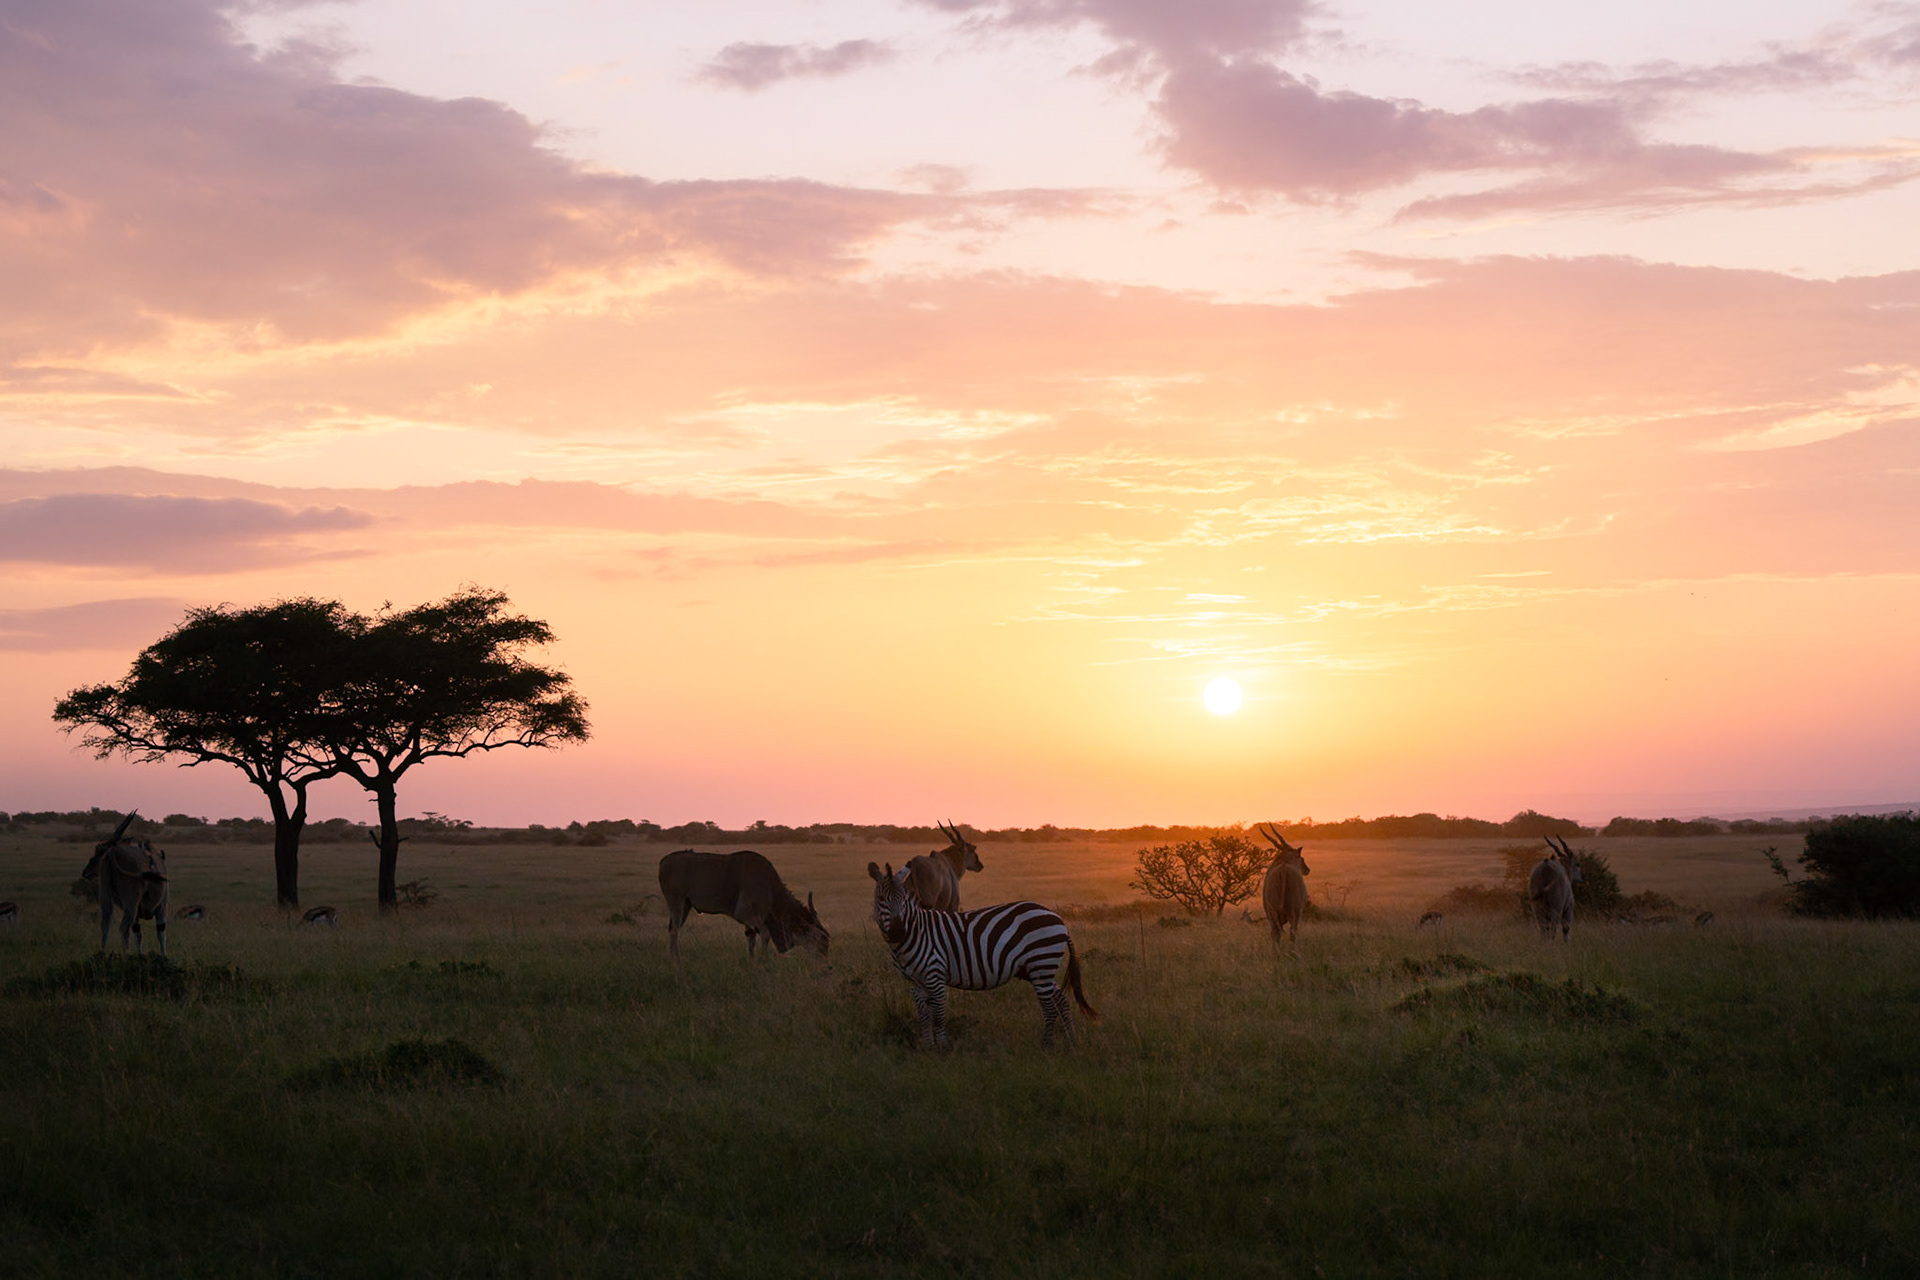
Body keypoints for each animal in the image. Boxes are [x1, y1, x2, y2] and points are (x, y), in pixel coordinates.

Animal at [867, 861, 1098, 1049]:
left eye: (905, 901)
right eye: (881, 899)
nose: (898, 931)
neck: (915, 932)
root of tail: (1057, 918)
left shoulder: (935, 974)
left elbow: (939, 1015)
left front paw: (942, 1048)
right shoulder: (916, 982)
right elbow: (924, 1017)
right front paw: (928, 1047)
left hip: (1041, 964)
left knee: (1049, 1007)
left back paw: (1046, 1046)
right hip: (1036, 968)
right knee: (1061, 1000)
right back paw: (1071, 1040)